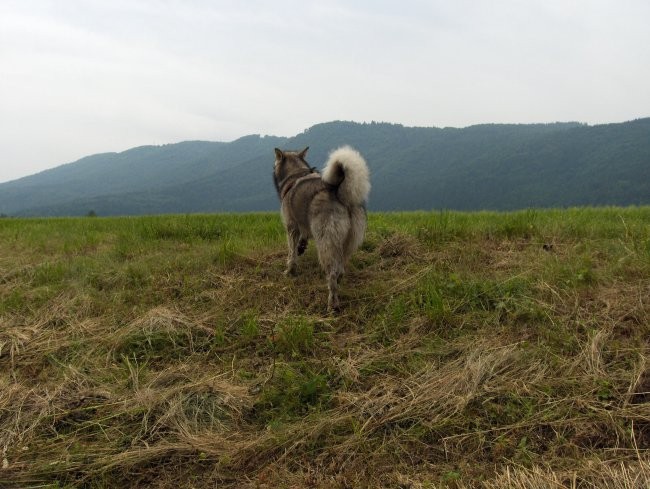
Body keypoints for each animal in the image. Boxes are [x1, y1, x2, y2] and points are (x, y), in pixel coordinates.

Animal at [272, 145, 370, 308]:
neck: (296, 173)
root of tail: (339, 192)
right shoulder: (303, 225)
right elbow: (301, 241)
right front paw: (301, 247)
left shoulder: (291, 227)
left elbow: (291, 253)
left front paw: (289, 271)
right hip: (347, 243)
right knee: (340, 270)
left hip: (326, 242)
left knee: (333, 273)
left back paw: (332, 304)